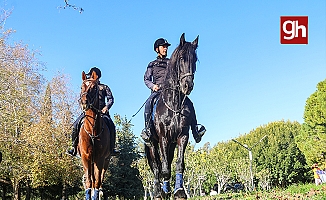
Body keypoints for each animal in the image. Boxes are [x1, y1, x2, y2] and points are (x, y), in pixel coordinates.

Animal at [78, 70, 111, 200]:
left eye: (94, 87)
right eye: (81, 87)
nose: (84, 102)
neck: (92, 131)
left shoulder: (100, 158)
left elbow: (97, 181)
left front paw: (97, 194)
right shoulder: (86, 157)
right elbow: (89, 182)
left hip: (105, 161)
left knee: (100, 180)